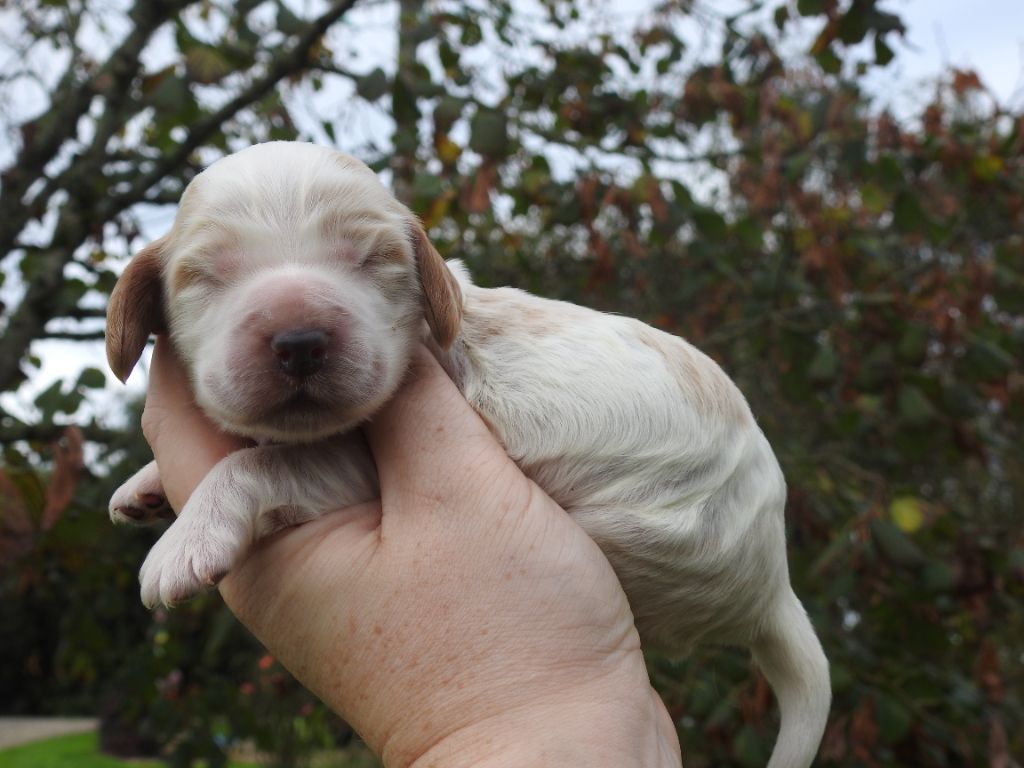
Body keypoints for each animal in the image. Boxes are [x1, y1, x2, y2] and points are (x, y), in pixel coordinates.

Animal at [105, 141, 831, 765]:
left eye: (372, 260)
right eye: (206, 275)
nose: (301, 341)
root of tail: (775, 587)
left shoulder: (353, 462)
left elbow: (255, 463)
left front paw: (181, 547)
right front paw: (144, 484)